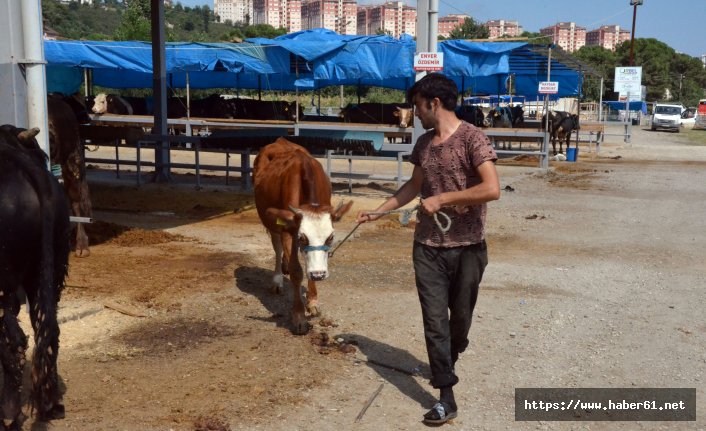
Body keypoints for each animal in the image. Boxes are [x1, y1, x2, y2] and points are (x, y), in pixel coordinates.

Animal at [253, 138, 352, 334]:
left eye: (331, 237)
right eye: (302, 237)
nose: (319, 274)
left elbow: (308, 265)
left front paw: (312, 301)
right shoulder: (288, 230)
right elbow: (296, 271)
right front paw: (299, 316)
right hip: (271, 223)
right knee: (277, 248)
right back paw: (278, 279)